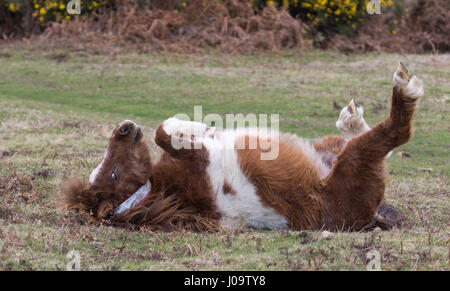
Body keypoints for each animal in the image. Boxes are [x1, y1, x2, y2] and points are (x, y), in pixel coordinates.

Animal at [61, 63, 424, 233]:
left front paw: (201, 128)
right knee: (393, 133)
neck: (162, 192)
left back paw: (350, 119)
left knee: (348, 138)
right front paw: (199, 128)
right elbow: (164, 131)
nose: (123, 128)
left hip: (331, 150)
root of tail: (367, 216)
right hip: (355, 163)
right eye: (114, 173)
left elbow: (165, 132)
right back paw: (403, 87)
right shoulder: (198, 161)